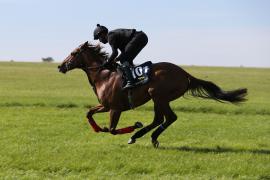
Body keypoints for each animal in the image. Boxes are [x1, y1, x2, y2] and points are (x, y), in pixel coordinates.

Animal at [58, 41, 248, 148]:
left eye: (74, 53)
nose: (60, 66)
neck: (103, 75)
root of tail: (185, 73)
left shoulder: (115, 108)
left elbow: (112, 130)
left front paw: (134, 126)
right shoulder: (105, 105)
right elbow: (89, 113)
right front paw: (98, 128)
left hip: (158, 96)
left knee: (165, 118)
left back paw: (138, 135)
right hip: (161, 99)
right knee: (165, 118)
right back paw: (148, 137)